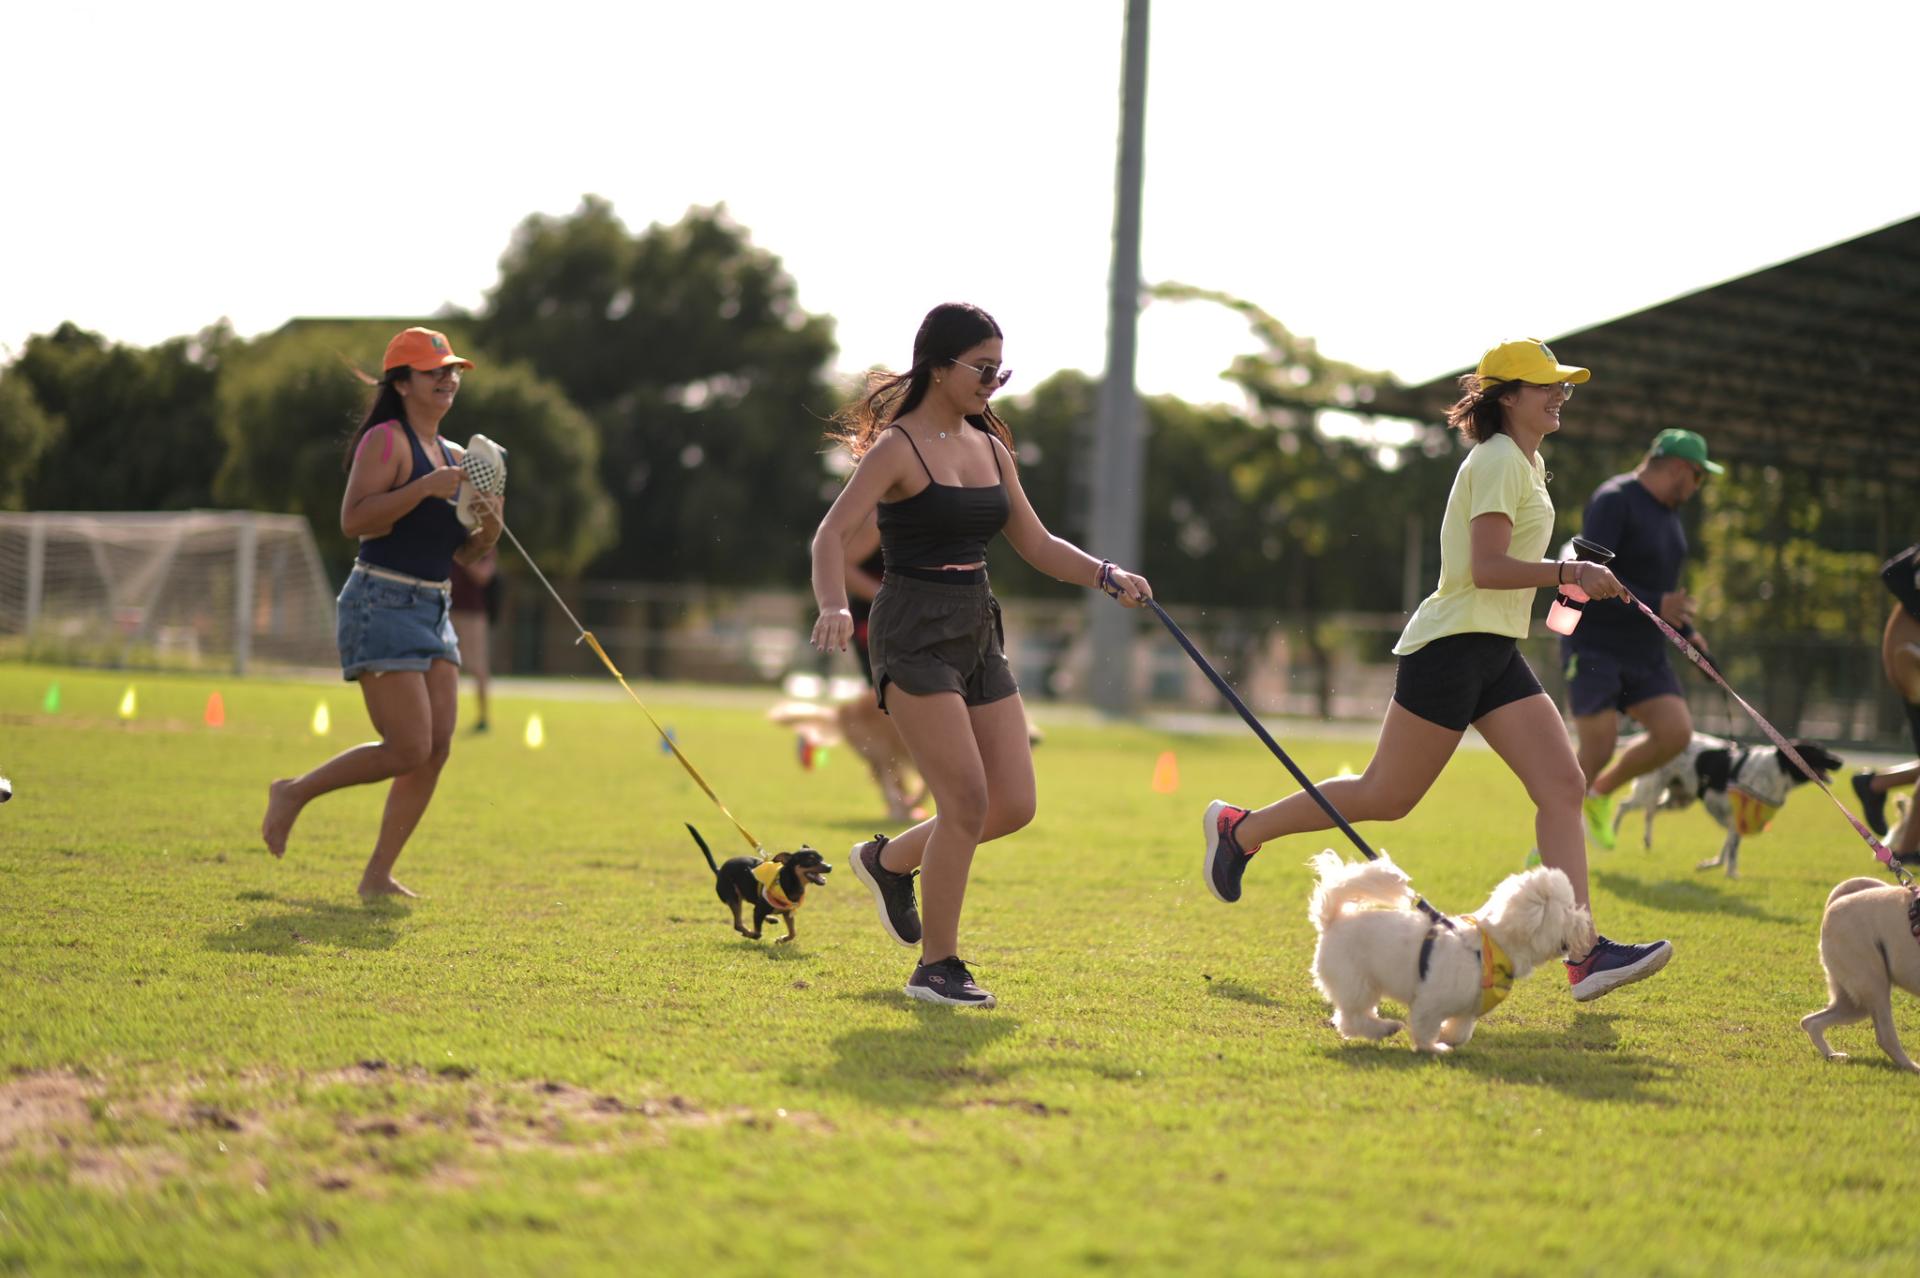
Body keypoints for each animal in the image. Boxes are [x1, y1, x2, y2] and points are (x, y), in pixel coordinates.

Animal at [1305, 852, 1605, 1051]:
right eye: (1568, 909)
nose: (1585, 920)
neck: (1490, 947)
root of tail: (1333, 918)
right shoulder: (1429, 1003)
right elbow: (1425, 1030)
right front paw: (1433, 1048)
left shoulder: (1467, 1009)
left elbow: (1461, 1031)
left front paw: (1447, 1037)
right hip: (1357, 982)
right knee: (1350, 1019)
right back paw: (1385, 1028)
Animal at [1612, 725, 1850, 875]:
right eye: (1817, 752)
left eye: (1825, 749)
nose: (1841, 761)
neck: (1776, 771)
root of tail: (1646, 737)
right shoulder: (1739, 818)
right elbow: (1732, 851)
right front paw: (1731, 873)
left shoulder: (1736, 821)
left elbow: (1726, 850)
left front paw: (1711, 865)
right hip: (1650, 790)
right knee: (1624, 806)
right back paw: (1612, 833)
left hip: (1679, 799)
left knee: (1649, 811)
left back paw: (1647, 840)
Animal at [1797, 871, 1920, 1066]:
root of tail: (1836, 902)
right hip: (1873, 987)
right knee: (1886, 1037)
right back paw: (1911, 1067)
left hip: (1854, 1003)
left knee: (1810, 1022)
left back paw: (1832, 1055)